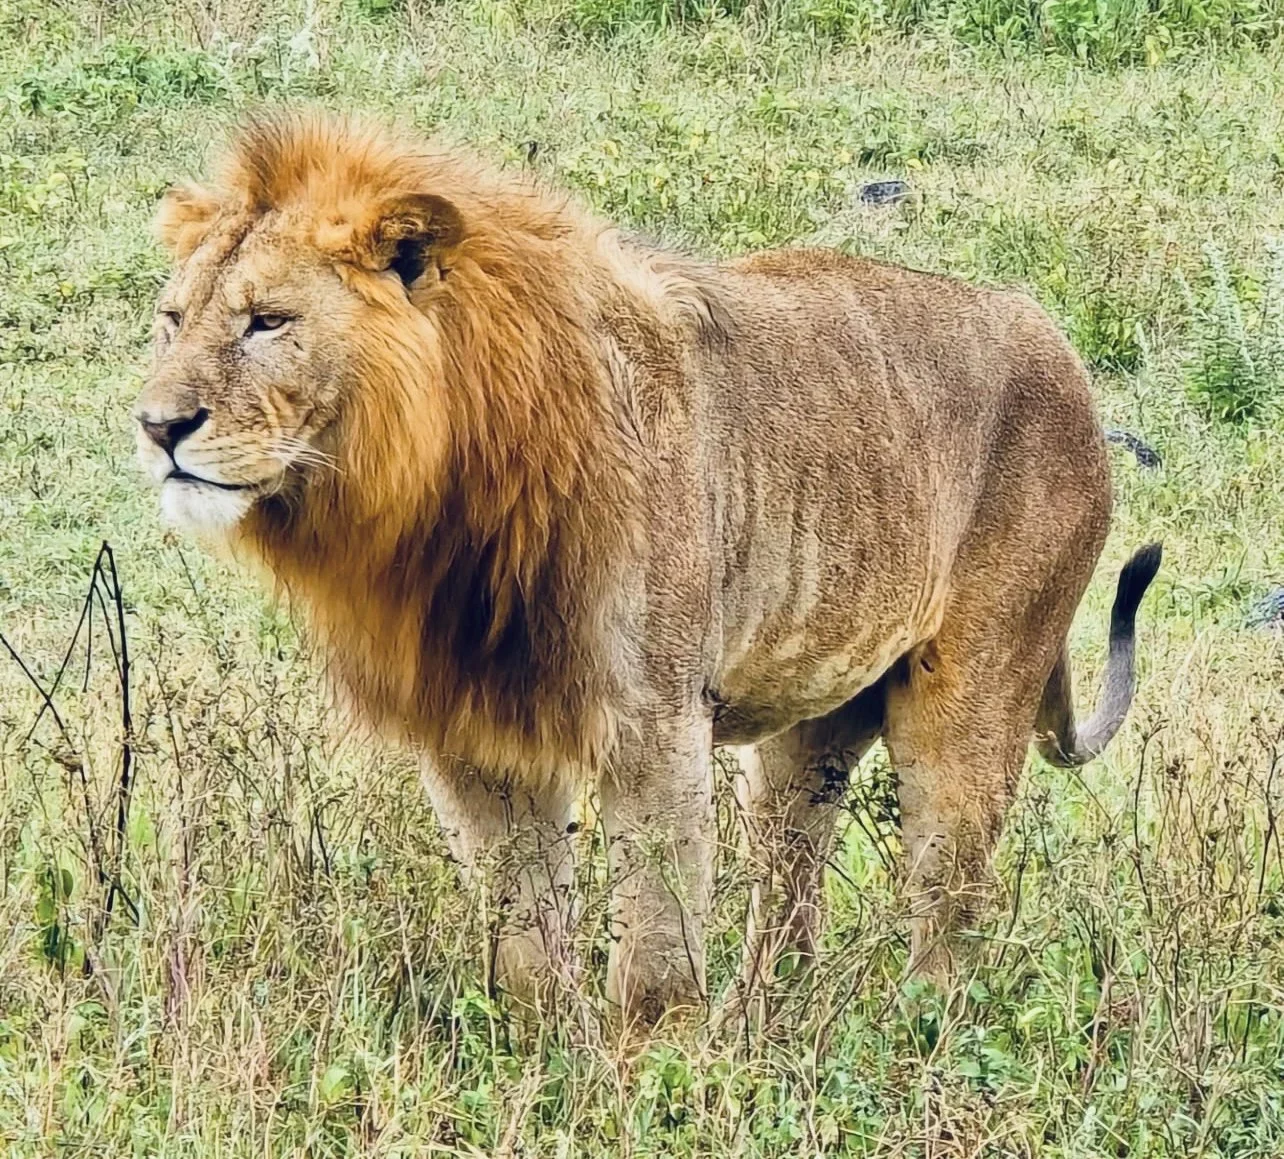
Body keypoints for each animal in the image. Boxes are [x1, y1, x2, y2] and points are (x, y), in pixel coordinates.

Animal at [134, 112, 1160, 1026]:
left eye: (269, 322)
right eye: (172, 321)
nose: (155, 426)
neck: (428, 498)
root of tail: (1056, 341)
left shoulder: (652, 717)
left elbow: (657, 956)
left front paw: (655, 1077)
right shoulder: (472, 730)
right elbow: (522, 947)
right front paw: (548, 1062)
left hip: (972, 696)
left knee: (949, 906)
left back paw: (912, 1039)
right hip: (812, 717)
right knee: (792, 875)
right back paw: (762, 1026)